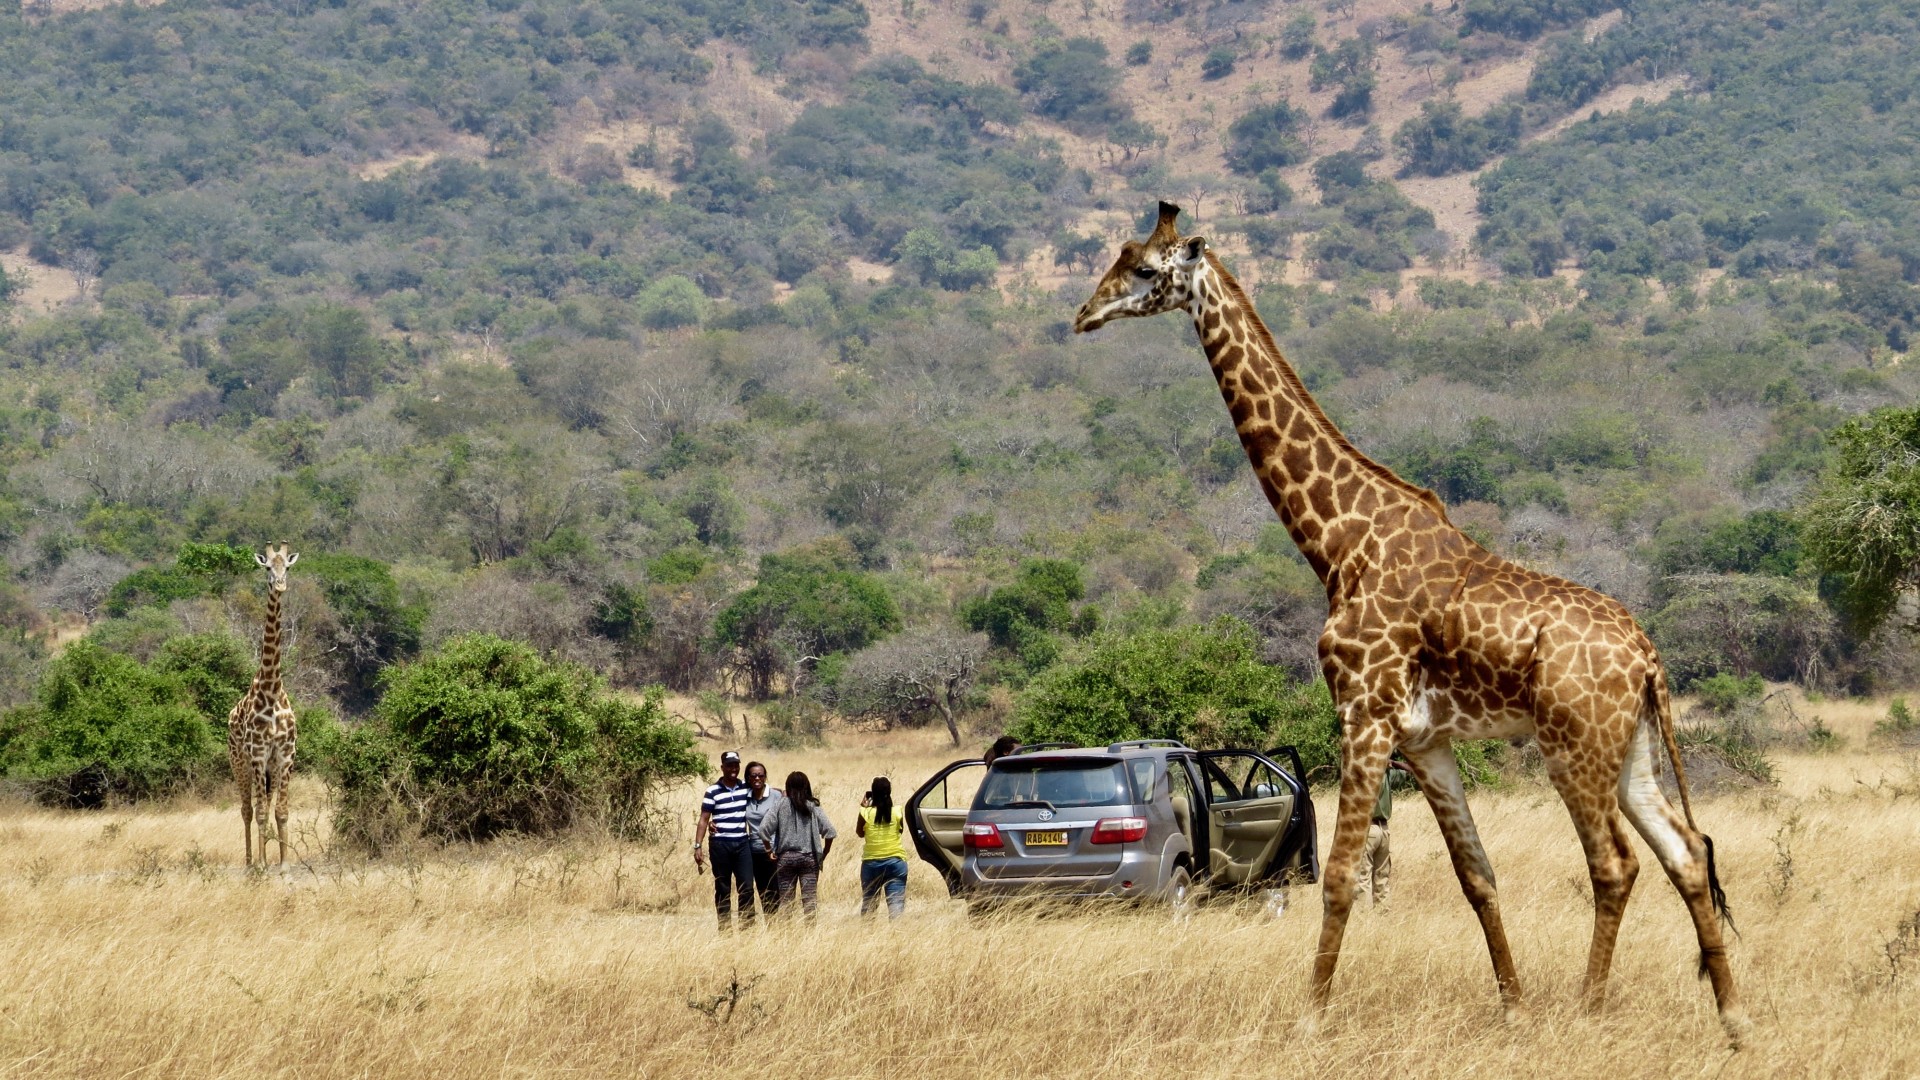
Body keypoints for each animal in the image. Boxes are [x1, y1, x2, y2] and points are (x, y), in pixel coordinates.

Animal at [1074, 203, 1748, 1045]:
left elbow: (1339, 874)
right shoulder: (1426, 740)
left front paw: (1311, 1018)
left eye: (1142, 268)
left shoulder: (1362, 712)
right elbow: (1476, 874)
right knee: (1687, 853)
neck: (1337, 545)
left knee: (1616, 862)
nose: (1083, 314)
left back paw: (1591, 1009)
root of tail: (1649, 655)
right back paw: (1732, 1017)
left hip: (1574, 744)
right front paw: (1514, 1008)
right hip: (1631, 749)